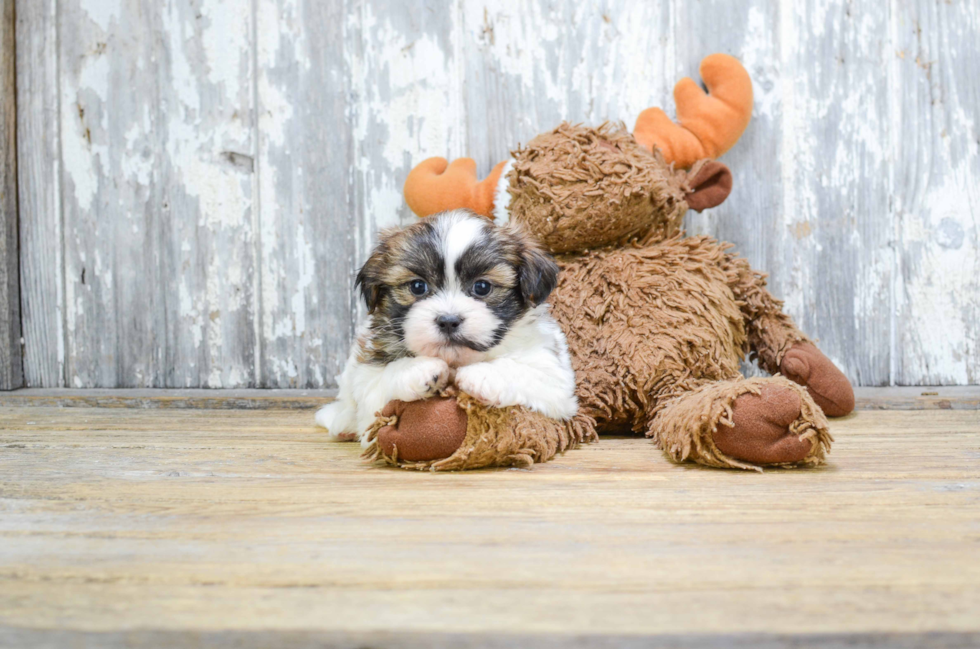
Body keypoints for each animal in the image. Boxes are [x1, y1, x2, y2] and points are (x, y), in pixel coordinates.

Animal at [316, 209, 576, 446]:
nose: (448, 320)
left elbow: (527, 372)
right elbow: (382, 383)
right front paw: (419, 369)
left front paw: (481, 374)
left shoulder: (556, 380)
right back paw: (342, 421)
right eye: (418, 286)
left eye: (482, 287)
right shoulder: (369, 385)